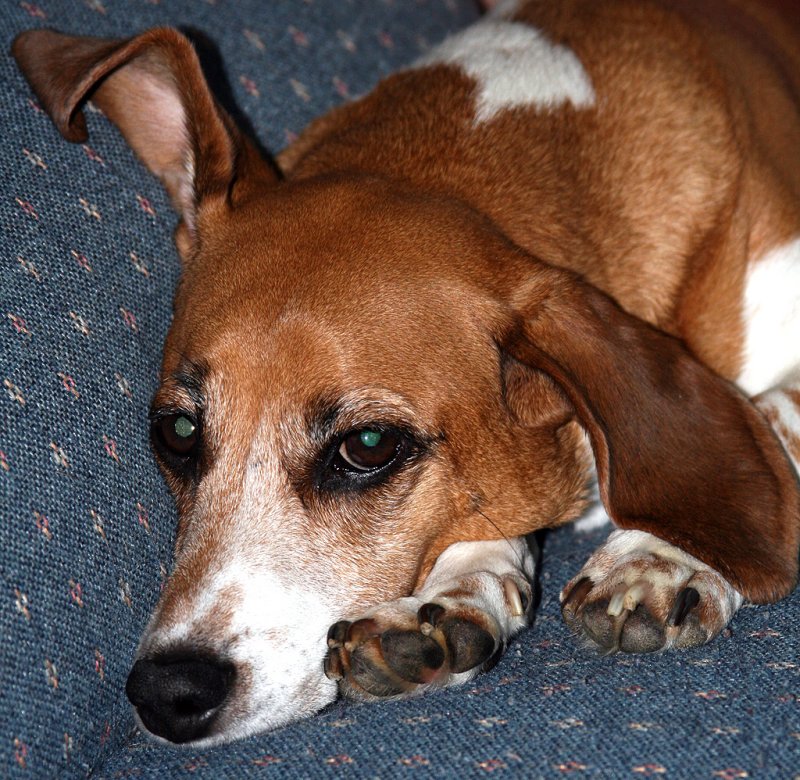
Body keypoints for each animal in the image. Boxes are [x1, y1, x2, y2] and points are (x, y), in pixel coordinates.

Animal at [12, 0, 800, 748]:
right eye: (176, 432)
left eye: (367, 447)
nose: (167, 693)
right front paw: (456, 594)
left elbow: (768, 413)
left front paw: (662, 555)